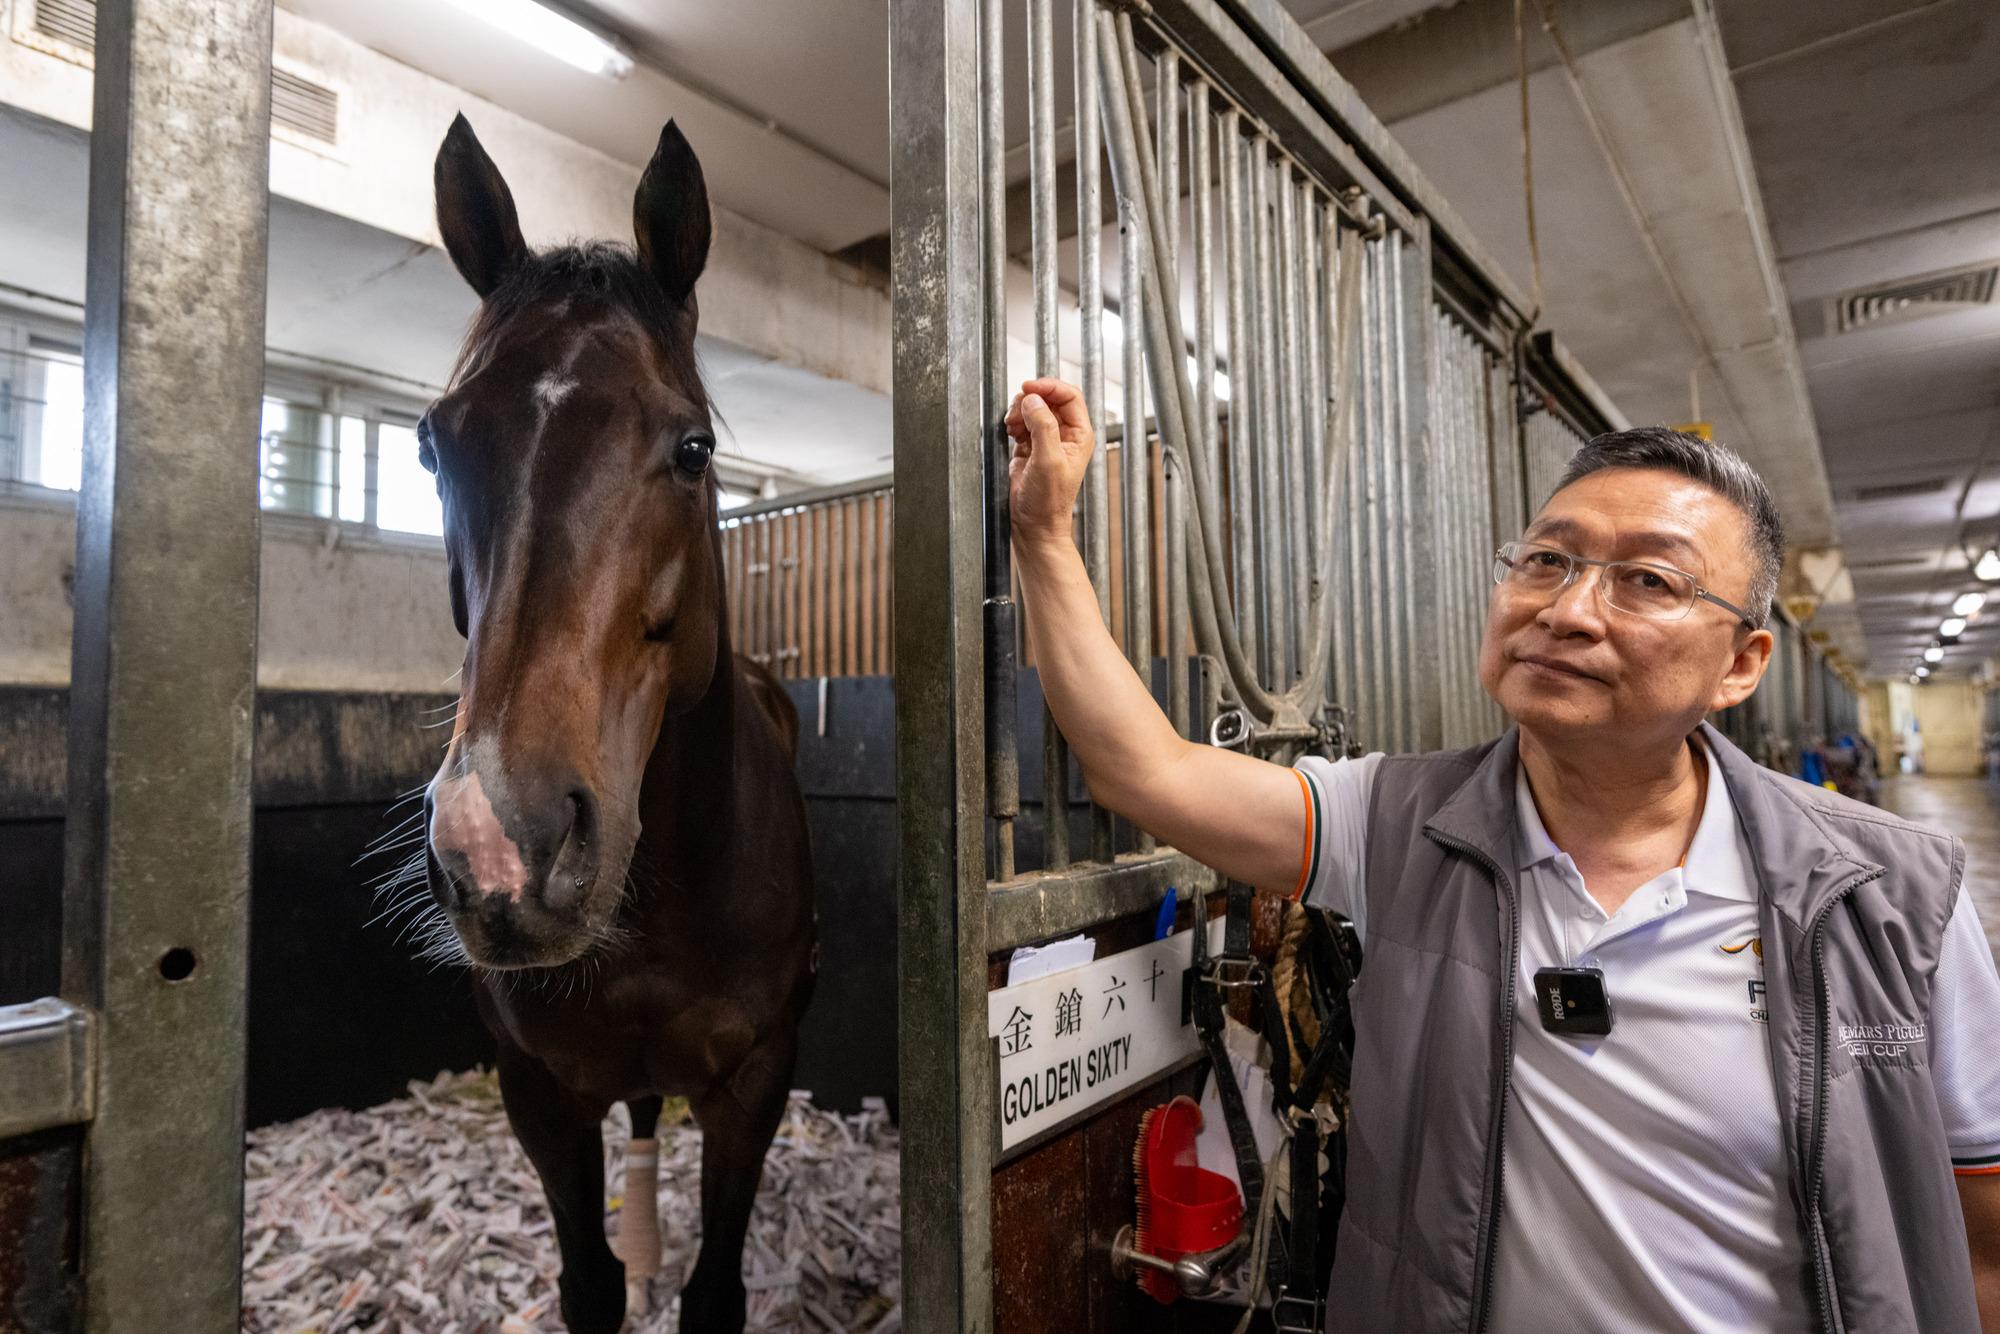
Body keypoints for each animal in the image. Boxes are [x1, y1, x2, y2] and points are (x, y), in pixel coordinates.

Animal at [414, 113, 816, 1334]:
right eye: (431, 445)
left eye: (692, 447)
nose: (502, 844)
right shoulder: (539, 1091)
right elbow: (584, 1284)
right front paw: (623, 1267)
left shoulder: (755, 1080)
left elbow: (716, 1290)